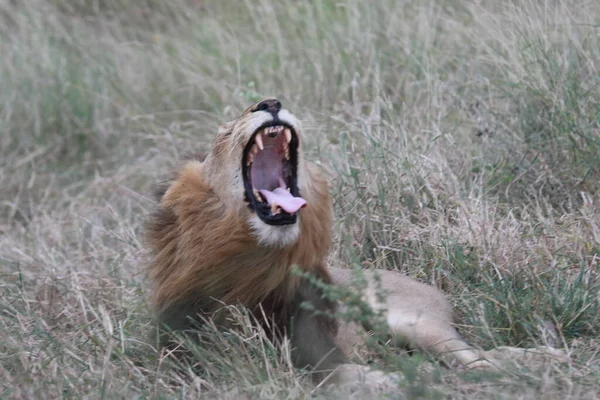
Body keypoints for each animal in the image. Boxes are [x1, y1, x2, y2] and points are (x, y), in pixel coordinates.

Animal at [144, 97, 564, 388]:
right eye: (224, 132)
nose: (270, 103)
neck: (256, 262)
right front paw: (392, 378)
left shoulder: (317, 347)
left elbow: (334, 374)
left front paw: (393, 379)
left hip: (418, 323)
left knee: (477, 356)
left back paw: (538, 360)